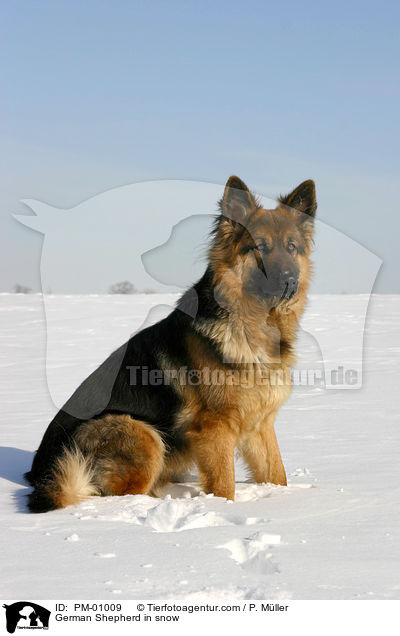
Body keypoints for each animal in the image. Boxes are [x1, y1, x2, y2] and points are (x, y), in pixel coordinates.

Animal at [26, 175, 318, 512]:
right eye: (259, 246)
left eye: (291, 247)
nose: (289, 280)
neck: (252, 324)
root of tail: (40, 471)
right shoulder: (215, 428)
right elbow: (224, 485)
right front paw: (222, 509)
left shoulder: (261, 424)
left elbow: (277, 474)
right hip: (143, 433)